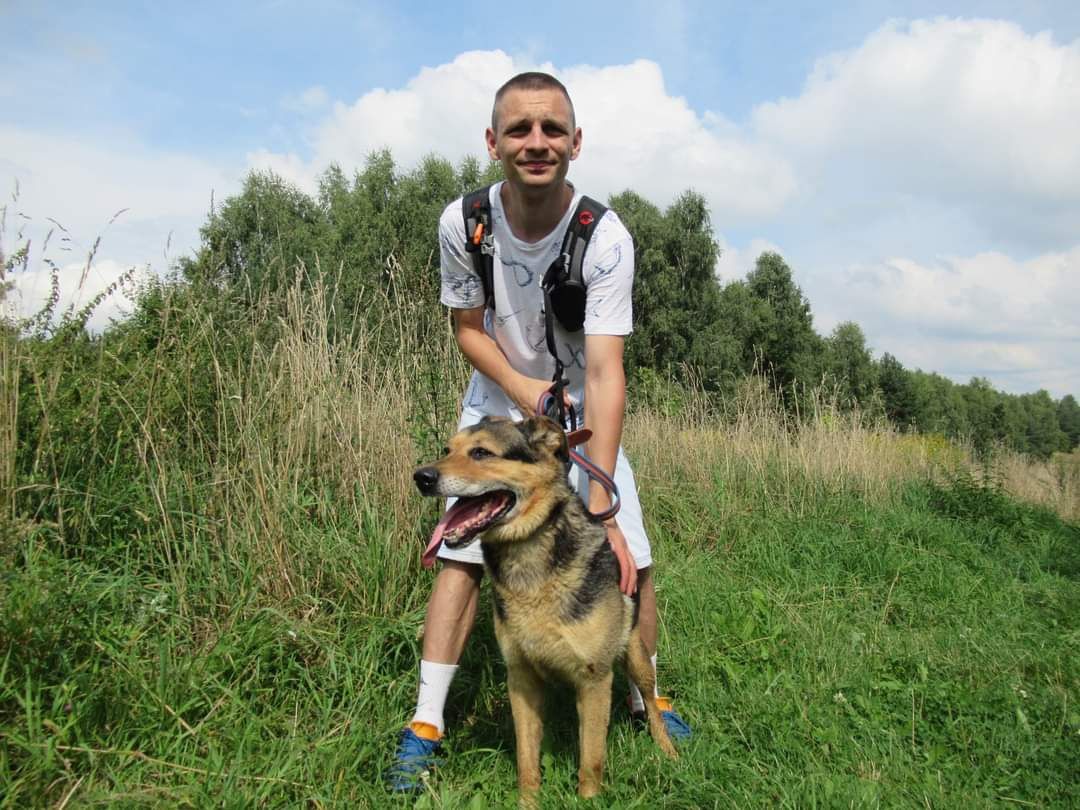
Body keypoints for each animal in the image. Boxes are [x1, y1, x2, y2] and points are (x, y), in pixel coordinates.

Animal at [412, 419, 673, 807]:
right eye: (447, 450)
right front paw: (528, 802)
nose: (422, 477)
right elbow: (527, 760)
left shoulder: (595, 679)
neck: (529, 555)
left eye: (481, 452)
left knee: (652, 702)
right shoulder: (522, 679)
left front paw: (588, 801)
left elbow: (590, 760)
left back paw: (668, 748)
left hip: (637, 656)